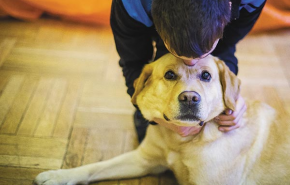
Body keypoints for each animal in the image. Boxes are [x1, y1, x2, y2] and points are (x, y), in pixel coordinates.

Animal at [34, 53, 290, 185]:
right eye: (169, 75)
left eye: (206, 76)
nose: (190, 98)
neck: (180, 143)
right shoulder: (143, 160)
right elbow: (95, 166)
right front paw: (58, 175)